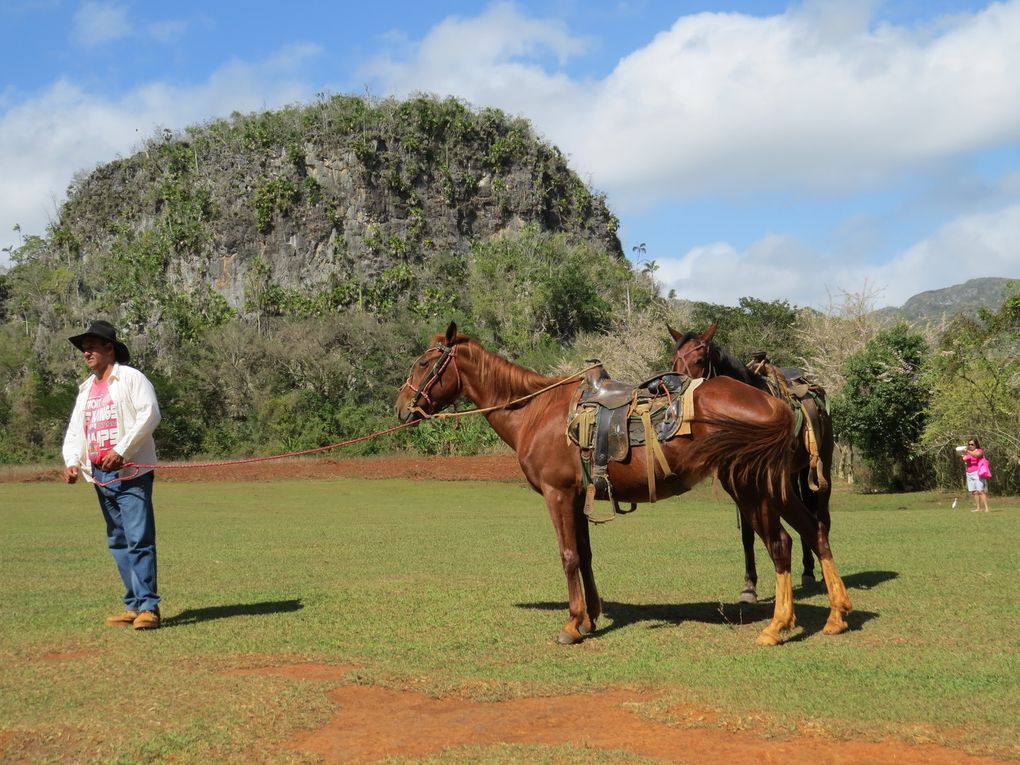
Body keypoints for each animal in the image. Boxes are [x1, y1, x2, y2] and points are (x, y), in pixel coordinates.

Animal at [393, 324, 848, 648]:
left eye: (424, 364)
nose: (400, 408)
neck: (537, 412)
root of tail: (777, 402)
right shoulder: (579, 496)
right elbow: (586, 555)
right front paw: (590, 617)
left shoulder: (558, 495)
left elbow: (568, 556)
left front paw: (572, 625)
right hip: (779, 487)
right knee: (814, 531)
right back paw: (837, 614)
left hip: (751, 488)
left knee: (782, 544)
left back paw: (778, 626)